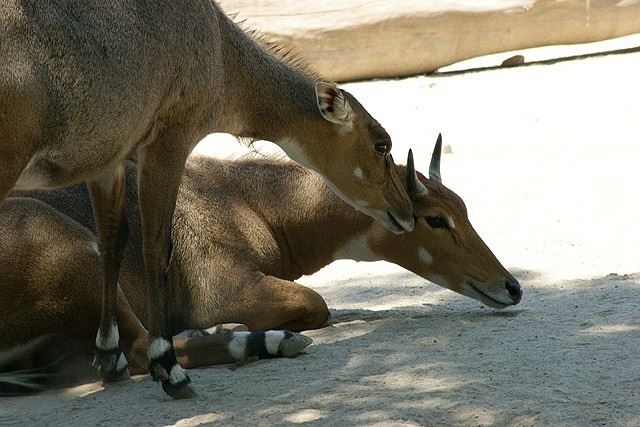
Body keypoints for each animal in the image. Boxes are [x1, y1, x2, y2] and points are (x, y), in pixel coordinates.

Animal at [0, 136, 520, 394]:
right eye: (435, 218)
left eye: (463, 206)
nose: (511, 286)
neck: (251, 201)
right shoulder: (225, 289)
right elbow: (317, 303)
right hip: (80, 253)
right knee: (138, 351)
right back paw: (262, 340)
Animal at [1, 0, 416, 398]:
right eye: (382, 144)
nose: (407, 214)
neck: (221, 50)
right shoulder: (169, 140)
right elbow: (157, 247)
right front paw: (166, 367)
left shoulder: (109, 160)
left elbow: (113, 242)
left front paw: (107, 355)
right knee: (139, 342)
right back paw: (256, 343)